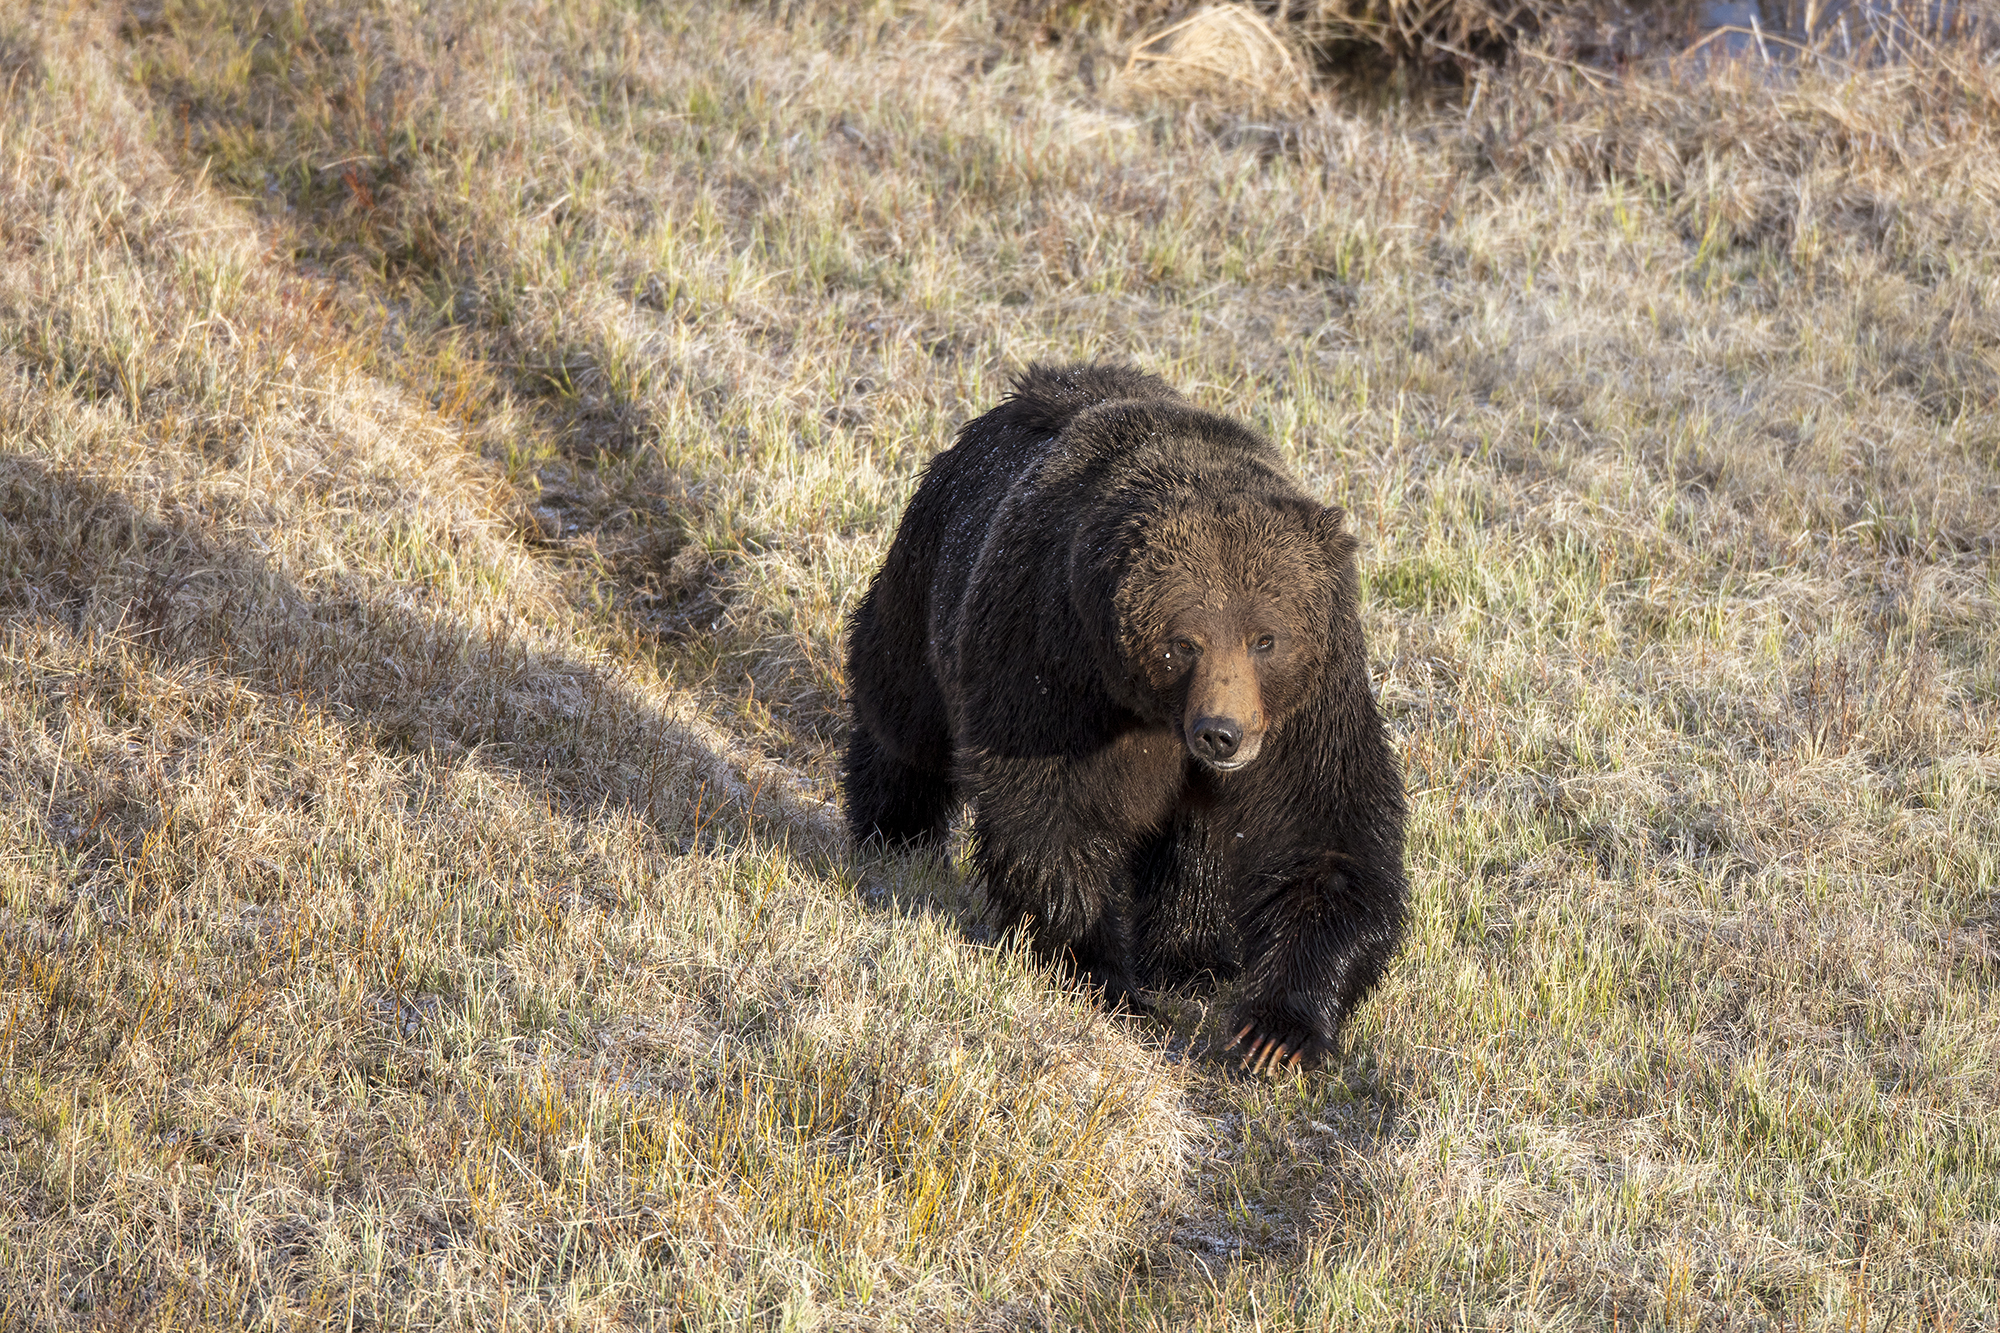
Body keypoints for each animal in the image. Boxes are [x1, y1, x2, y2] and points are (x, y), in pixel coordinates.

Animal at [843, 362, 1406, 1073]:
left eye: (1265, 638)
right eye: (1184, 642)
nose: (1222, 734)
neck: (1151, 709)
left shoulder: (1308, 704)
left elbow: (1324, 834)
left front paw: (1275, 1033)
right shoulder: (1052, 654)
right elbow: (1050, 813)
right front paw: (1103, 976)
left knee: (1198, 839)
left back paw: (1190, 956)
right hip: (932, 567)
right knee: (902, 710)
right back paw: (893, 830)